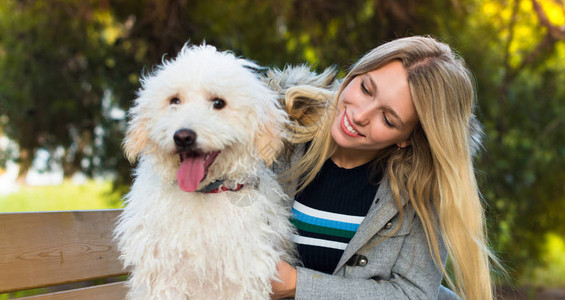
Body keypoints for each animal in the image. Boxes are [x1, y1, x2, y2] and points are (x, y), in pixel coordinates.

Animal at [117, 43, 298, 298]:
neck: (203, 193)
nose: (183, 137)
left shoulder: (241, 276)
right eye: (174, 100)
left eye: (218, 103)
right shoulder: (164, 279)